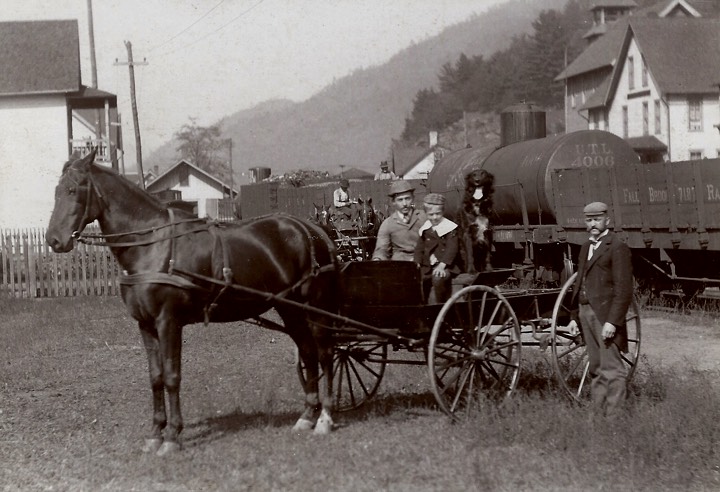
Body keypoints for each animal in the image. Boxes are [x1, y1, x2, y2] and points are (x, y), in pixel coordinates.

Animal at [46, 152, 342, 456]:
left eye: (72, 190)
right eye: (56, 191)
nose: (53, 240)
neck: (151, 244)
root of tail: (312, 228)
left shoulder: (169, 322)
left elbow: (172, 376)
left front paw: (172, 436)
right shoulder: (145, 325)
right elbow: (155, 377)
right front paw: (155, 433)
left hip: (314, 308)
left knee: (325, 353)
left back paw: (325, 417)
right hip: (290, 308)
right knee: (308, 352)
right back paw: (307, 416)